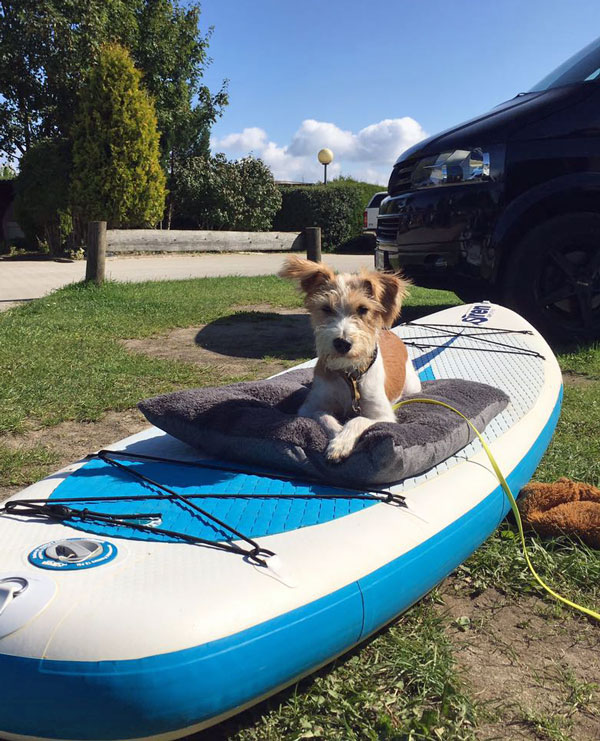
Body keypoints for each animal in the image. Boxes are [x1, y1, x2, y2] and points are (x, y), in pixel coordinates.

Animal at [278, 255, 421, 461]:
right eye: (326, 308)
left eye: (363, 309)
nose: (342, 343)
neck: (349, 375)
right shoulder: (309, 408)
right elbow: (326, 417)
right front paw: (338, 435)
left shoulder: (382, 414)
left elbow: (358, 419)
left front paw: (342, 441)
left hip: (412, 386)